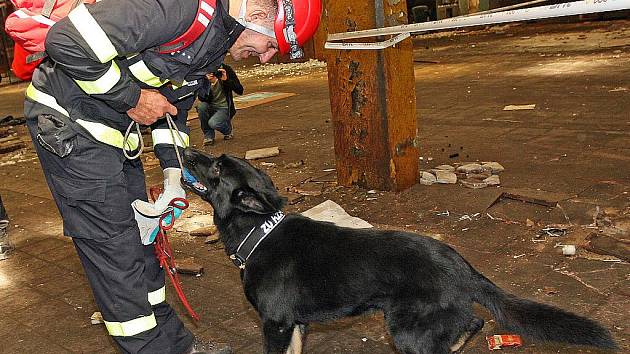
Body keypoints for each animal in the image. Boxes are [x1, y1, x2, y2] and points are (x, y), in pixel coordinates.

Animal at [181, 149, 616, 354]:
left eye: (216, 168)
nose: (186, 152)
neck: (259, 231)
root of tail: (463, 267)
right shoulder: (295, 326)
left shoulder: (275, 325)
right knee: (471, 323)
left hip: (406, 330)